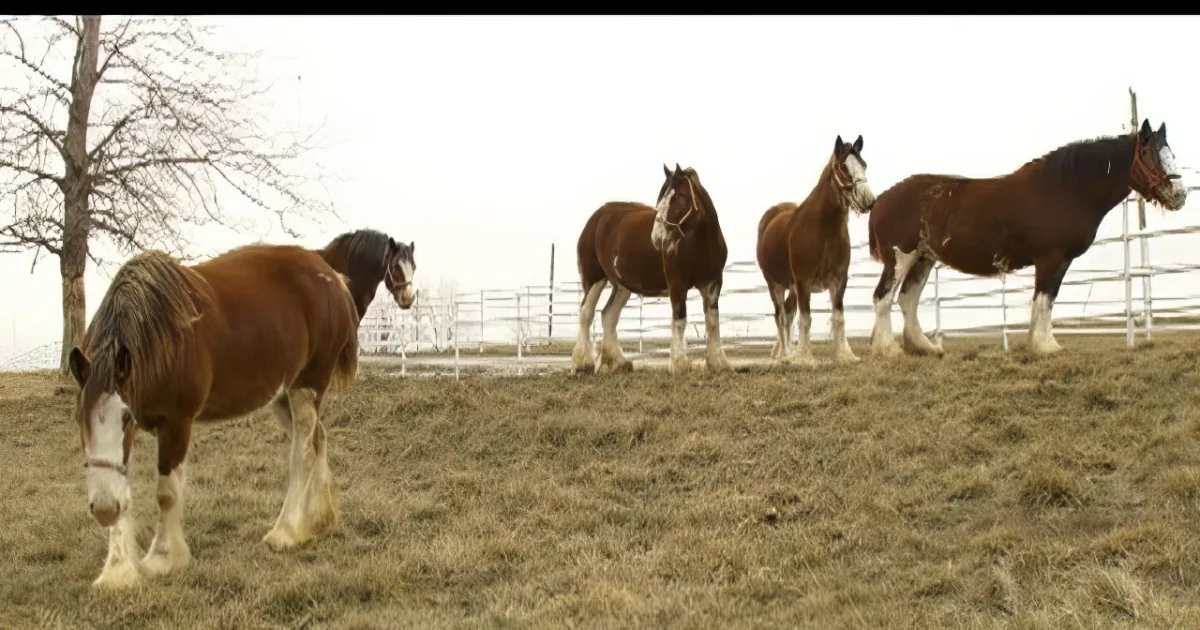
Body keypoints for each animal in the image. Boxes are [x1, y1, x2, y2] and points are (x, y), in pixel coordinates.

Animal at [67, 244, 360, 588]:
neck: (161, 338)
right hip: (283, 396)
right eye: (79, 417)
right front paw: (117, 570)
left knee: (302, 454)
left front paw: (163, 558)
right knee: (319, 440)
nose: (102, 508)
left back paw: (285, 532)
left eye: (126, 417)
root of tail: (334, 278)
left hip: (306, 387)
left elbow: (166, 494)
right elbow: (122, 486)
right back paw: (318, 519)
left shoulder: (177, 423)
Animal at [571, 164, 730, 374]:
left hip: (621, 286)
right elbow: (680, 320)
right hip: (594, 279)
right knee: (586, 314)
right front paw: (679, 365)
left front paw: (718, 363)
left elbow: (712, 321)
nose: (657, 235)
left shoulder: (713, 283)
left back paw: (619, 362)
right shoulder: (677, 283)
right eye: (660, 198)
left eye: (679, 196)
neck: (699, 242)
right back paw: (582, 364)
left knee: (608, 315)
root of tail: (596, 218)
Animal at [756, 135, 877, 365]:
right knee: (781, 316)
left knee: (787, 314)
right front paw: (804, 357)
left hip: (791, 287)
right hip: (775, 284)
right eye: (842, 167)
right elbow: (806, 318)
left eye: (865, 165)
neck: (824, 232)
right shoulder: (803, 281)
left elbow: (838, 317)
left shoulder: (839, 280)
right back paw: (785, 354)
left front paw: (845, 354)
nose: (868, 201)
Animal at [867, 119, 1188, 357]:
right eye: (1147, 154)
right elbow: (1043, 299)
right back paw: (888, 349)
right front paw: (1045, 347)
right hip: (900, 257)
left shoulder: (1058, 261)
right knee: (883, 297)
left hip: (924, 258)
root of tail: (880, 200)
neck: (1066, 189)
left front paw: (1042, 344)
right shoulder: (1051, 259)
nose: (1180, 195)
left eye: (1170, 153)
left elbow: (1047, 299)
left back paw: (925, 348)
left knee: (907, 299)